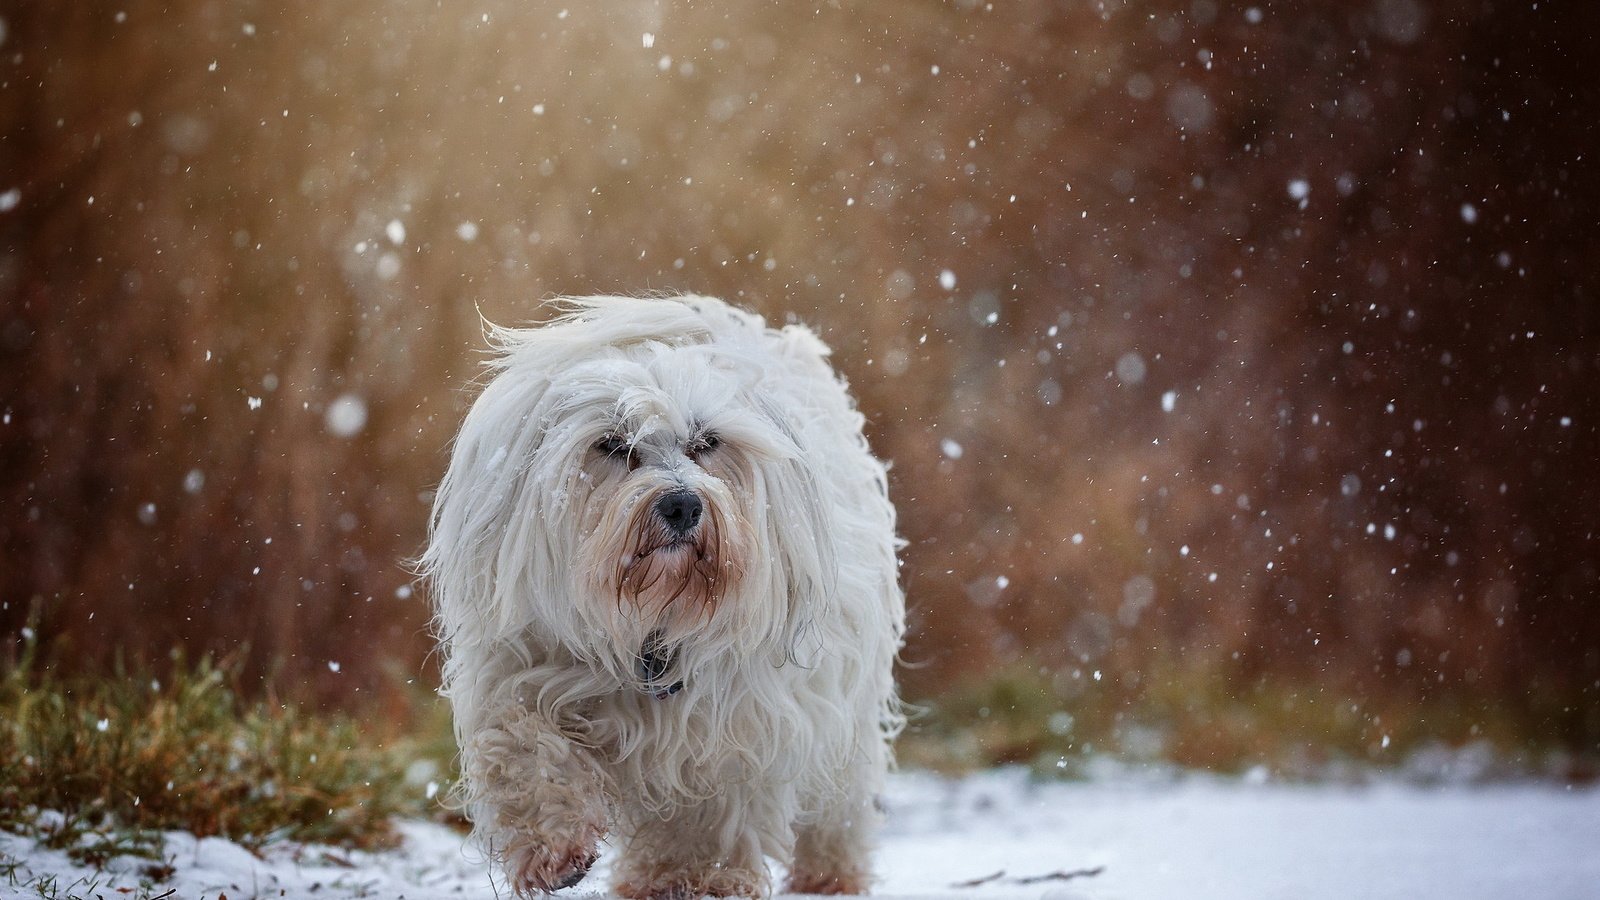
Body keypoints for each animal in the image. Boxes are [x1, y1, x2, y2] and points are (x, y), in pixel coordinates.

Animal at [419, 296, 908, 896]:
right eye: (613, 444)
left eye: (706, 443)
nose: (682, 504)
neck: (653, 622)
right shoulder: (518, 665)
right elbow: (523, 745)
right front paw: (554, 847)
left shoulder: (730, 727)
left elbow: (706, 817)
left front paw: (695, 879)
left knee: (840, 799)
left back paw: (830, 873)